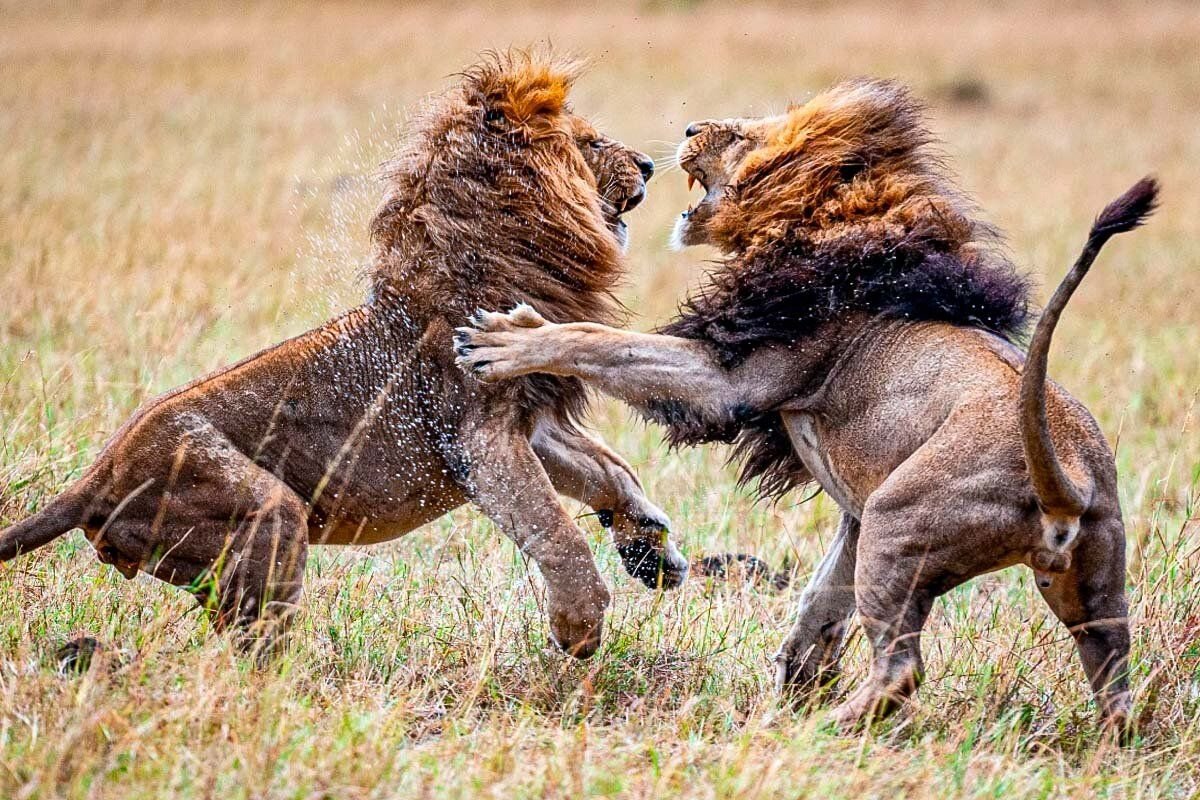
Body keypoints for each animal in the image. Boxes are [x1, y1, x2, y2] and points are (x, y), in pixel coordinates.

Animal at [0, 51, 686, 662]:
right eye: (591, 142)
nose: (650, 165)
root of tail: (96, 477)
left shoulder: (532, 420)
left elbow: (612, 471)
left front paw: (653, 551)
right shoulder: (475, 436)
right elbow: (554, 530)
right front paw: (580, 627)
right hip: (268, 510)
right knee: (244, 653)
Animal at [453, 77, 1156, 734]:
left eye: (742, 136)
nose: (689, 128)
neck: (831, 227)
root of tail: (1067, 476)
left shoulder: (732, 379)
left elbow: (598, 340)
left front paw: (506, 339)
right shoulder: (856, 510)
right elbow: (820, 604)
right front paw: (794, 678)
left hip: (899, 523)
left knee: (902, 669)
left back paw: (826, 730)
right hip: (1087, 582)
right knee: (1116, 686)